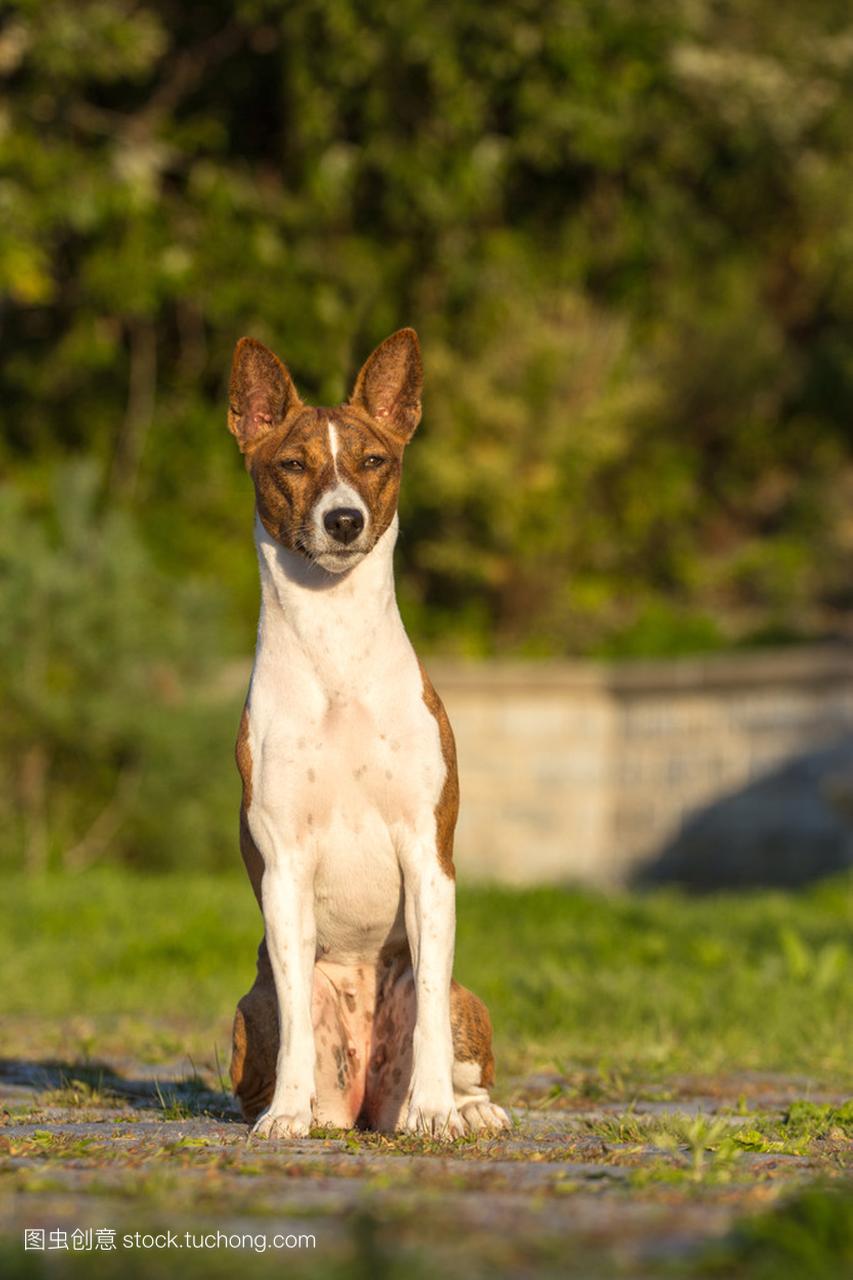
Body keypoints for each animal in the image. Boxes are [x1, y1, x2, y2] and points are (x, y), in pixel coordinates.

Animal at [224, 325, 512, 1136]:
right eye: (292, 464)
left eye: (373, 462)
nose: (344, 519)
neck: (337, 654)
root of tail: (365, 1111)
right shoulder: (284, 866)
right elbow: (296, 1012)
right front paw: (285, 1116)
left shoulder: (427, 854)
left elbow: (428, 1020)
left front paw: (437, 1113)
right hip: (245, 1013)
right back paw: (310, 1112)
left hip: (464, 1000)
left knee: (450, 1039)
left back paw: (461, 1110)